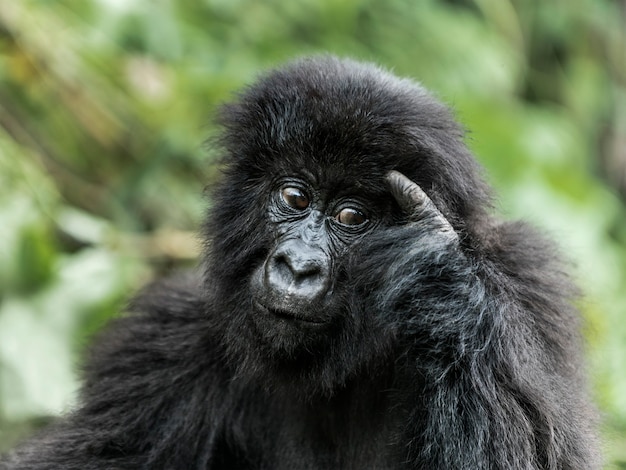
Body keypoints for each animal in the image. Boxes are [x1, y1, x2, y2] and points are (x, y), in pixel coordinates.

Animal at [4, 57, 600, 468]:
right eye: (294, 197)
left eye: (351, 215)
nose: (297, 267)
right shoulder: (160, 343)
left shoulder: (528, 283)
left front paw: (432, 269)